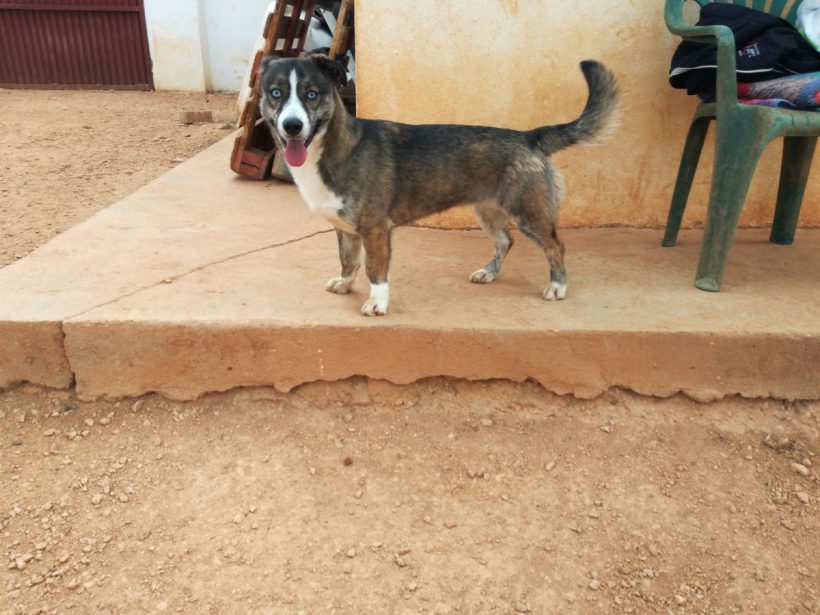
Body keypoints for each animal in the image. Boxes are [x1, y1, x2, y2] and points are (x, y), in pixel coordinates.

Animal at [258, 53, 619, 316]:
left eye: (312, 95)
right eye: (276, 93)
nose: (292, 126)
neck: (334, 147)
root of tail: (529, 137)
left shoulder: (375, 229)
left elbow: (375, 269)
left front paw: (378, 302)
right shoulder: (345, 229)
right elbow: (348, 260)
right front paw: (346, 284)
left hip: (530, 214)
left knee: (556, 246)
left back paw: (558, 286)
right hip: (488, 212)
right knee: (506, 240)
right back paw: (489, 273)